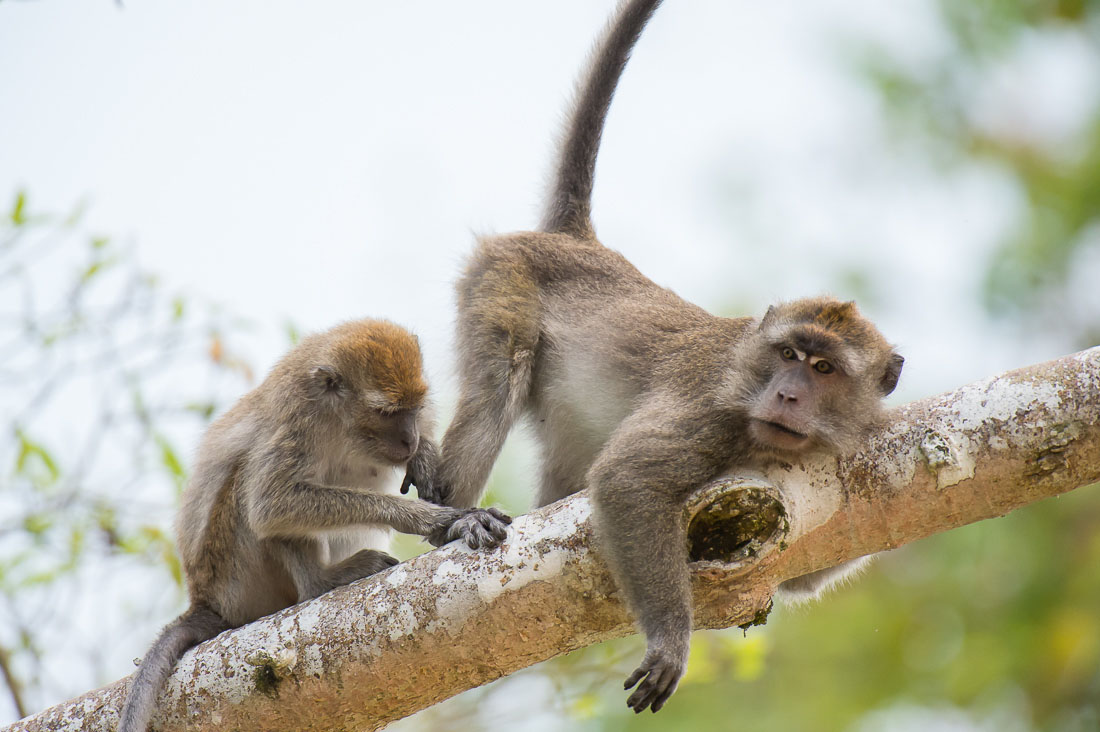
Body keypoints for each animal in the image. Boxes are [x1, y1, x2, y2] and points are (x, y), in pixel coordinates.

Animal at [117, 319, 514, 730]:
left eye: (413, 408)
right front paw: (435, 518)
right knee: (251, 486)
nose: (410, 438)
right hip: (235, 578)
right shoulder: (299, 417)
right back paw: (321, 582)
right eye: (386, 412)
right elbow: (271, 505)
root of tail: (205, 601)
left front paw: (424, 458)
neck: (339, 419)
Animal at [424, 0, 906, 708]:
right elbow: (628, 480)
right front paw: (672, 638)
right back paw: (452, 524)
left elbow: (796, 578)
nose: (787, 393)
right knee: (493, 391)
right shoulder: (711, 413)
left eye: (822, 368)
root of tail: (577, 242)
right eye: (788, 353)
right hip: (502, 278)